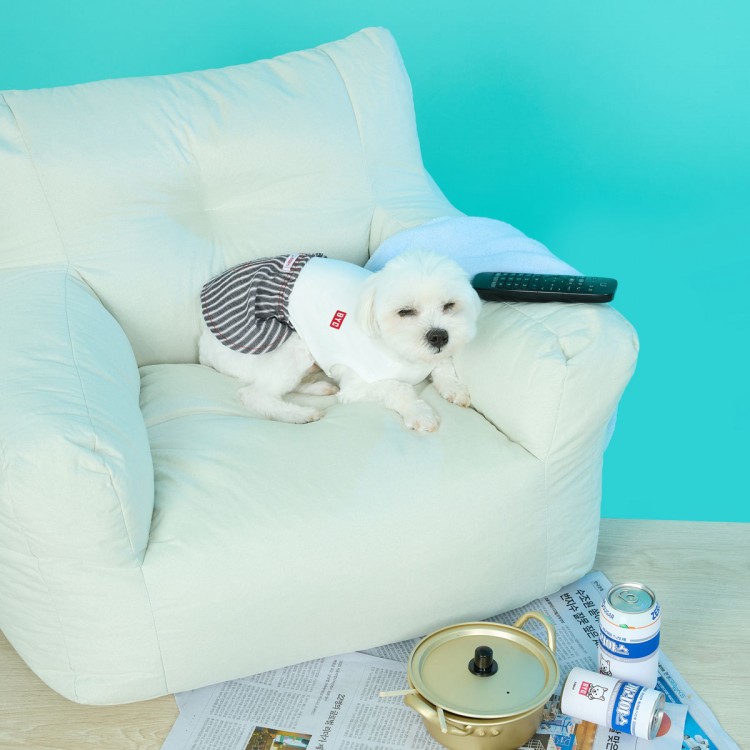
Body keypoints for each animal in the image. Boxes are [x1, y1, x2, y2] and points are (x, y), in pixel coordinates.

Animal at [198, 251, 481, 431]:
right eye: (405, 312)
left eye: (449, 306)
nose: (439, 335)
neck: (400, 352)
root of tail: (203, 343)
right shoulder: (358, 386)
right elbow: (397, 388)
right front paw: (419, 412)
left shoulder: (437, 355)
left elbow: (444, 365)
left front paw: (453, 387)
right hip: (293, 343)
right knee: (255, 394)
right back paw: (299, 414)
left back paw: (317, 388)